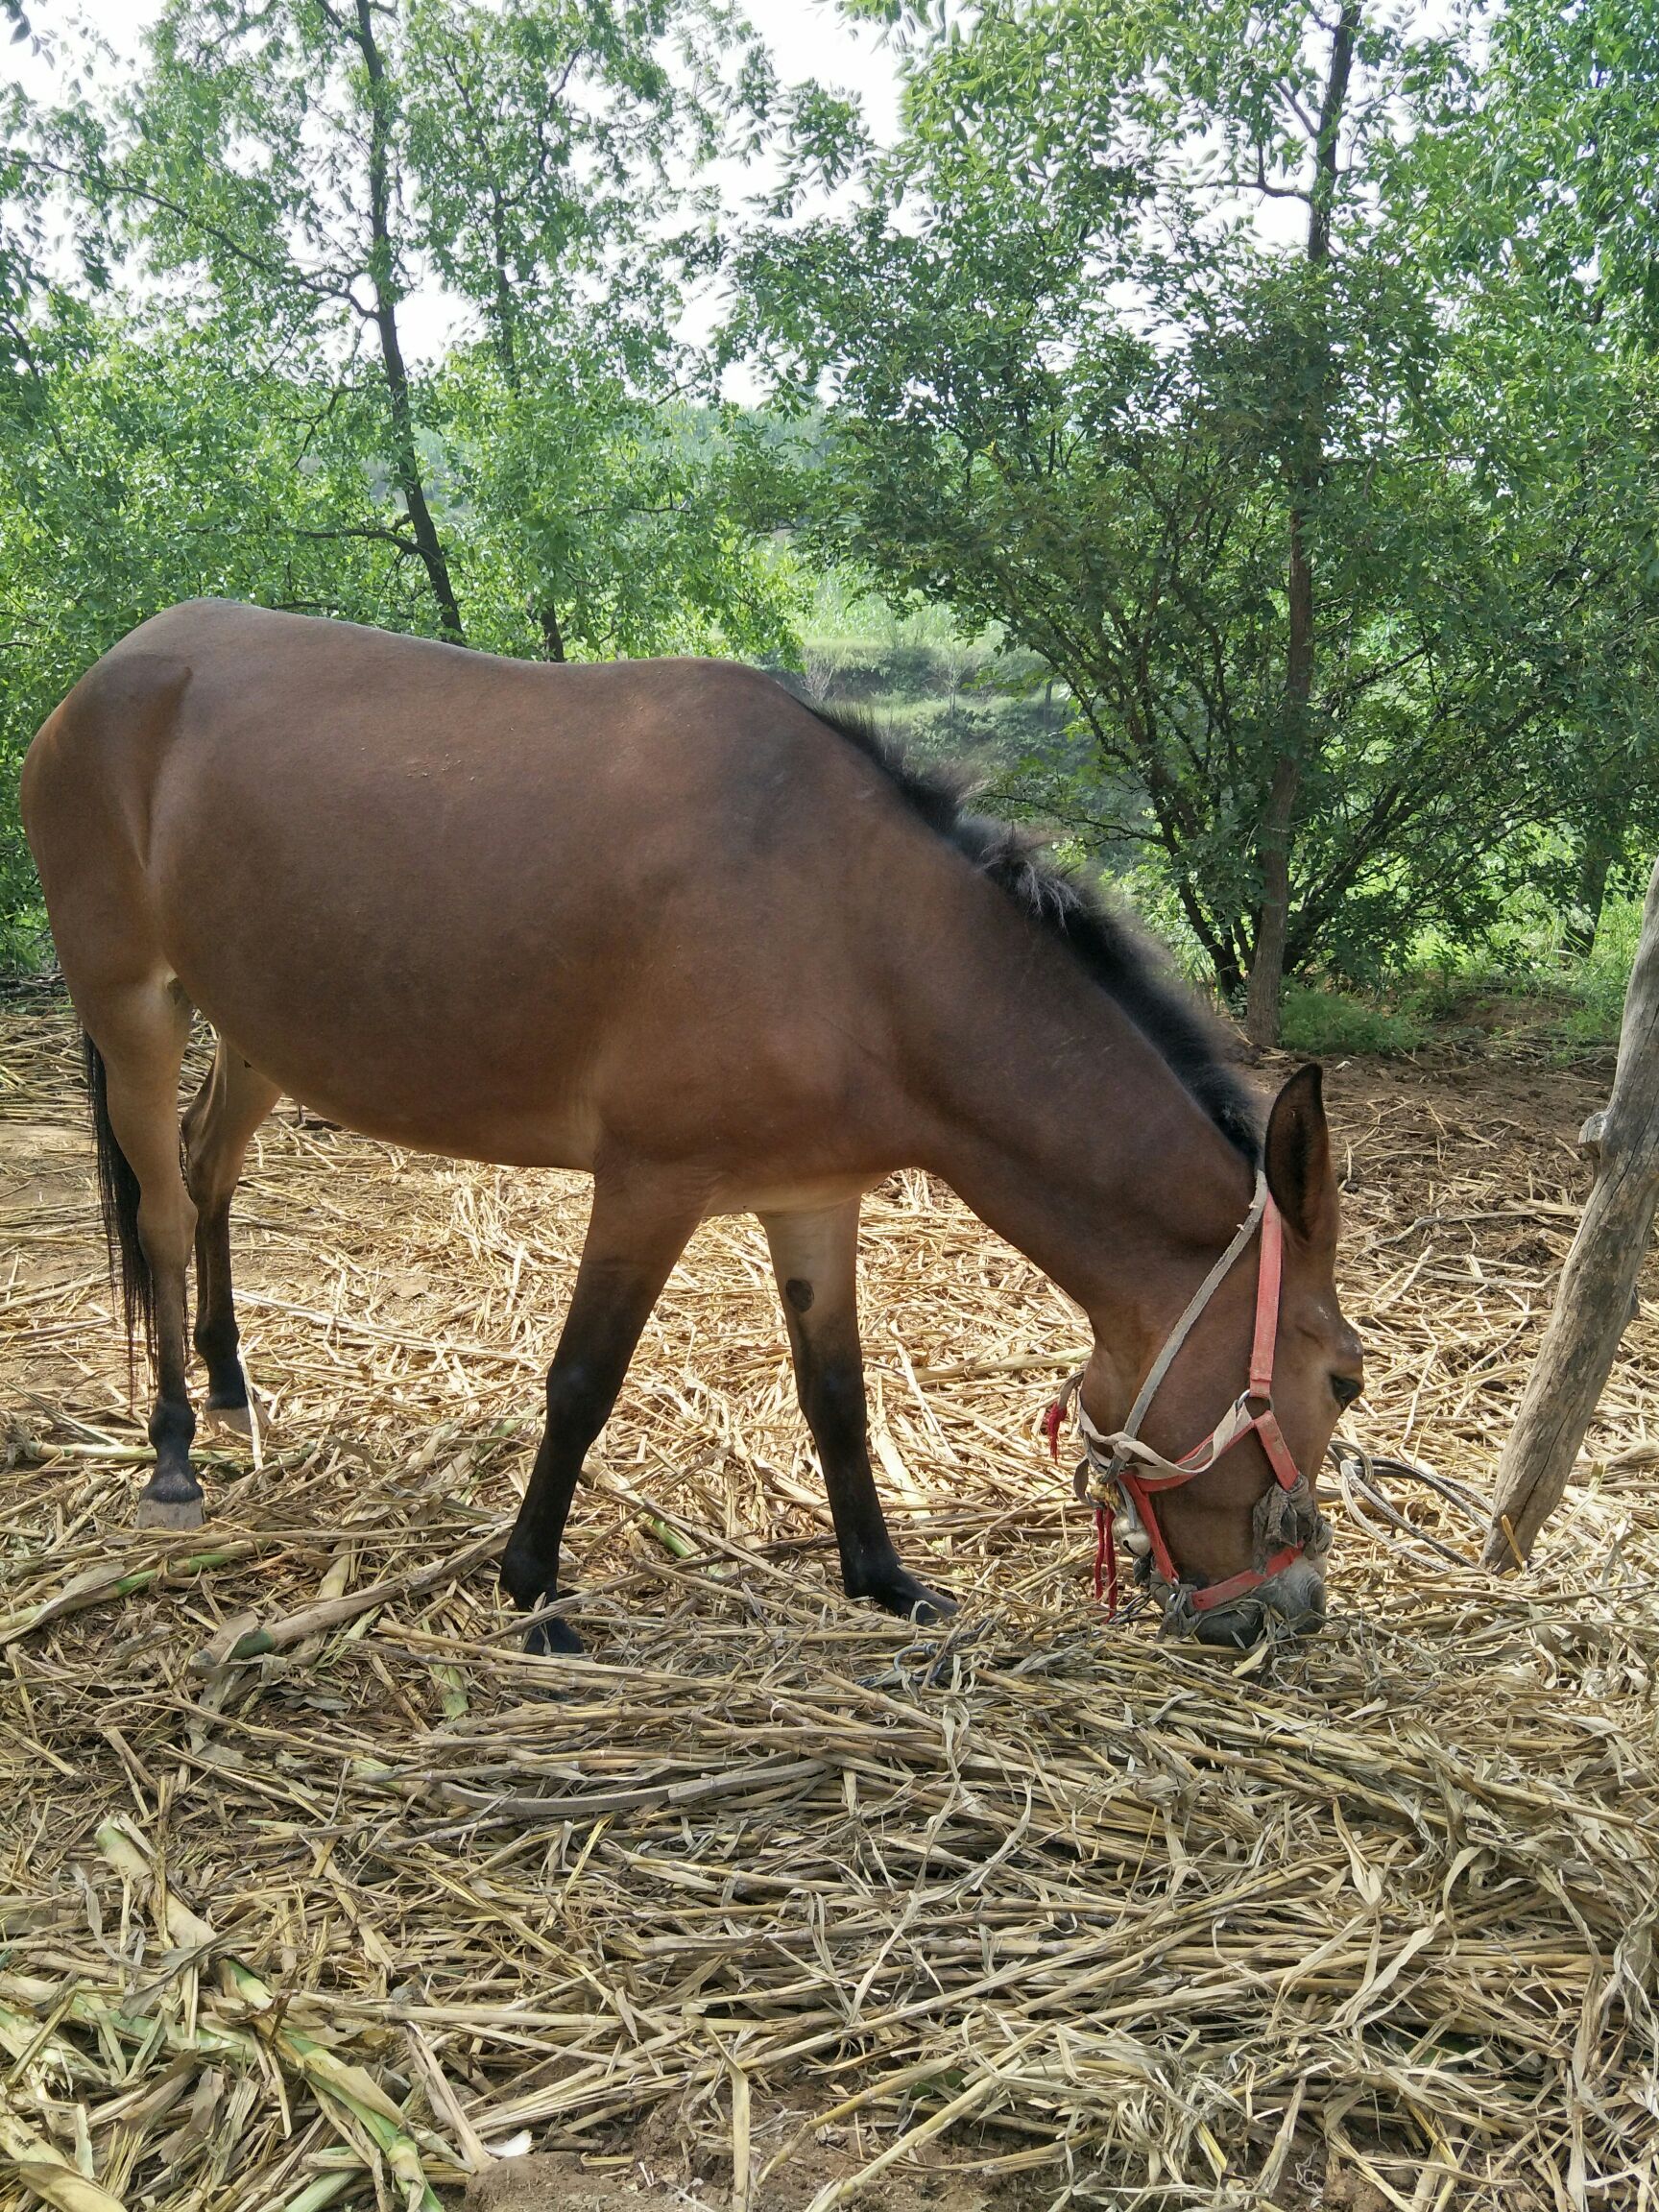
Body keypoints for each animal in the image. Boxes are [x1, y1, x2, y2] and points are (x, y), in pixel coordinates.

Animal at [22, 601, 1362, 1646]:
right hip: (134, 1009)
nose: (1291, 1608)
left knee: (206, 1171)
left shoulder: (811, 1199)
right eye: (1342, 1381)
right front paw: (532, 1587)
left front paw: (882, 1578)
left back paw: (230, 1373)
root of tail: (112, 670)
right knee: (158, 1209)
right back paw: (174, 1449)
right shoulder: (649, 1187)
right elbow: (582, 1381)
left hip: (255, 1030)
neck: (856, 932)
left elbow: (837, 1395)